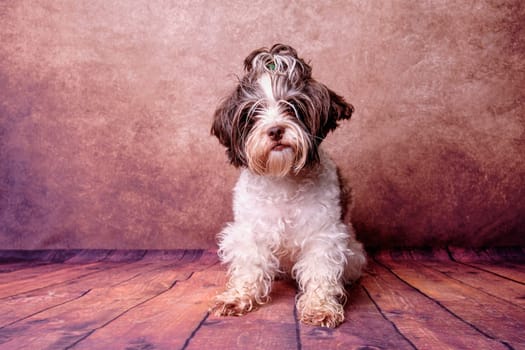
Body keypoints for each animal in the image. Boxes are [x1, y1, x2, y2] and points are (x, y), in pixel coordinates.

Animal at [209, 43, 364, 328]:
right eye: (252, 113)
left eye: (293, 106)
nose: (275, 130)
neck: (282, 179)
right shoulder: (250, 231)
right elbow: (250, 267)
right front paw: (238, 297)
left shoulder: (323, 235)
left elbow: (320, 272)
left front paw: (319, 306)